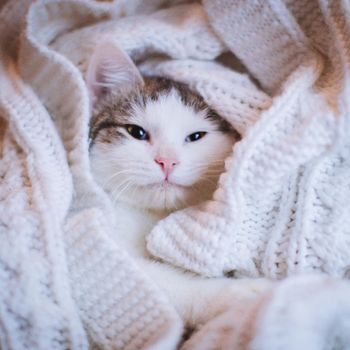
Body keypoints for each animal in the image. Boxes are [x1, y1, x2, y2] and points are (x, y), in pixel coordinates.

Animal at [87, 43, 268, 348]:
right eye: (136, 132)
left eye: (196, 136)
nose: (167, 161)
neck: (150, 217)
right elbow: (163, 284)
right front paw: (245, 293)